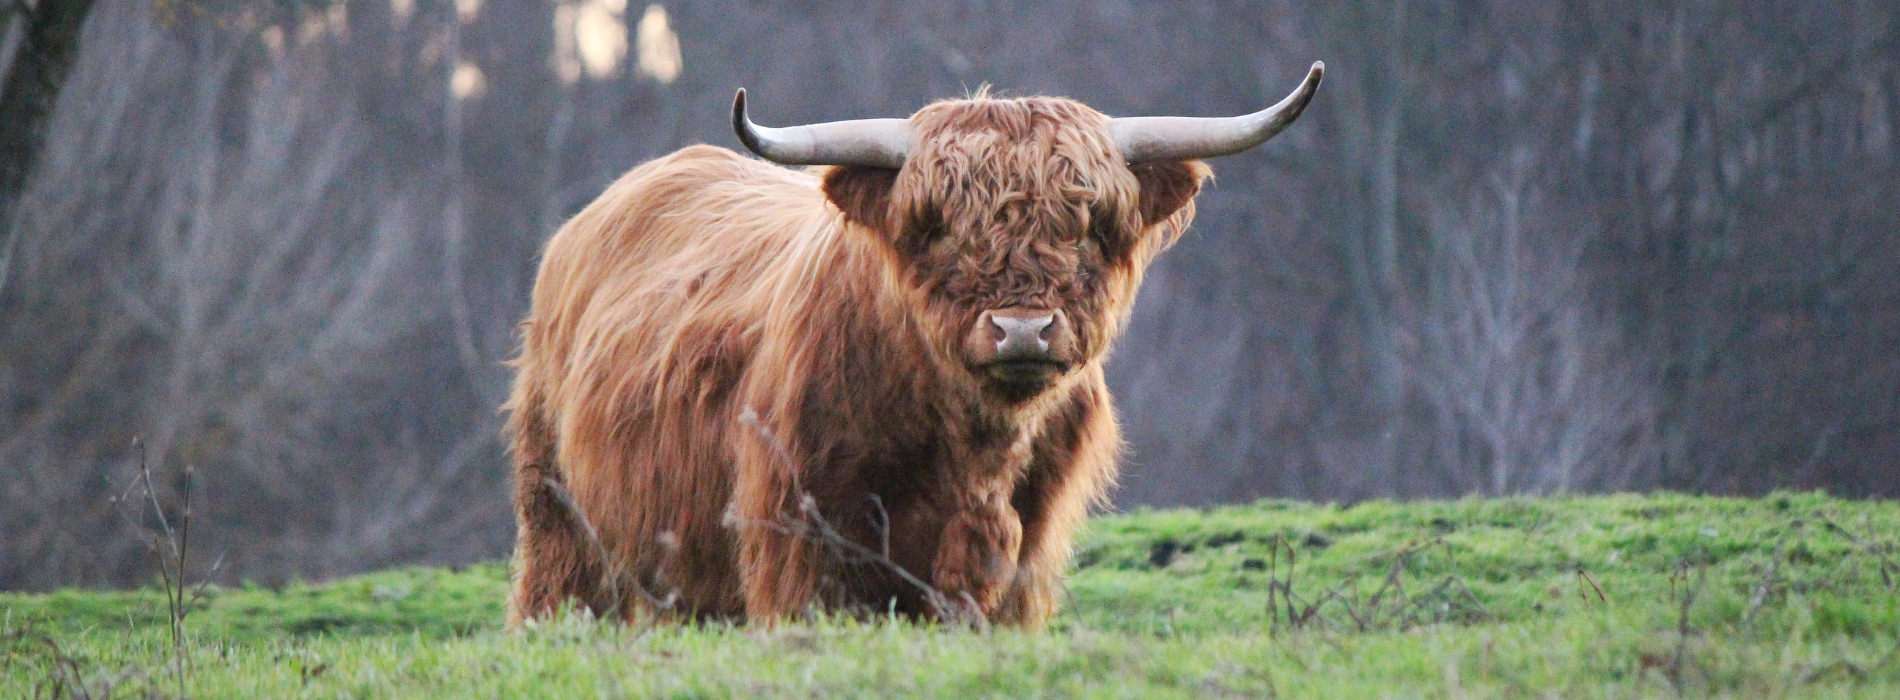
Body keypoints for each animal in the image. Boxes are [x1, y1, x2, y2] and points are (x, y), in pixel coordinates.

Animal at [504, 63, 1324, 628]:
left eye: (1087, 226)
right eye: (938, 228)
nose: (1022, 329)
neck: (975, 454)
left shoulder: (1020, 560)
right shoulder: (801, 541)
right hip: (559, 516)